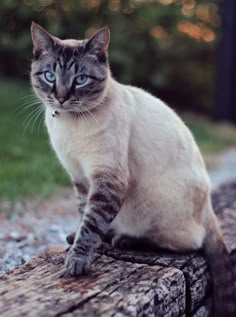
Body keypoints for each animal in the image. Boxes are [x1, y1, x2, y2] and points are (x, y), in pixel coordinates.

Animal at [30, 22, 235, 316]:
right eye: (49, 76)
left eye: (80, 79)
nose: (60, 97)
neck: (69, 125)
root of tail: (209, 207)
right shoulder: (80, 177)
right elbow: (84, 215)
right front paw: (81, 241)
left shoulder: (108, 178)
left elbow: (91, 224)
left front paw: (78, 261)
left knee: (190, 244)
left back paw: (123, 240)